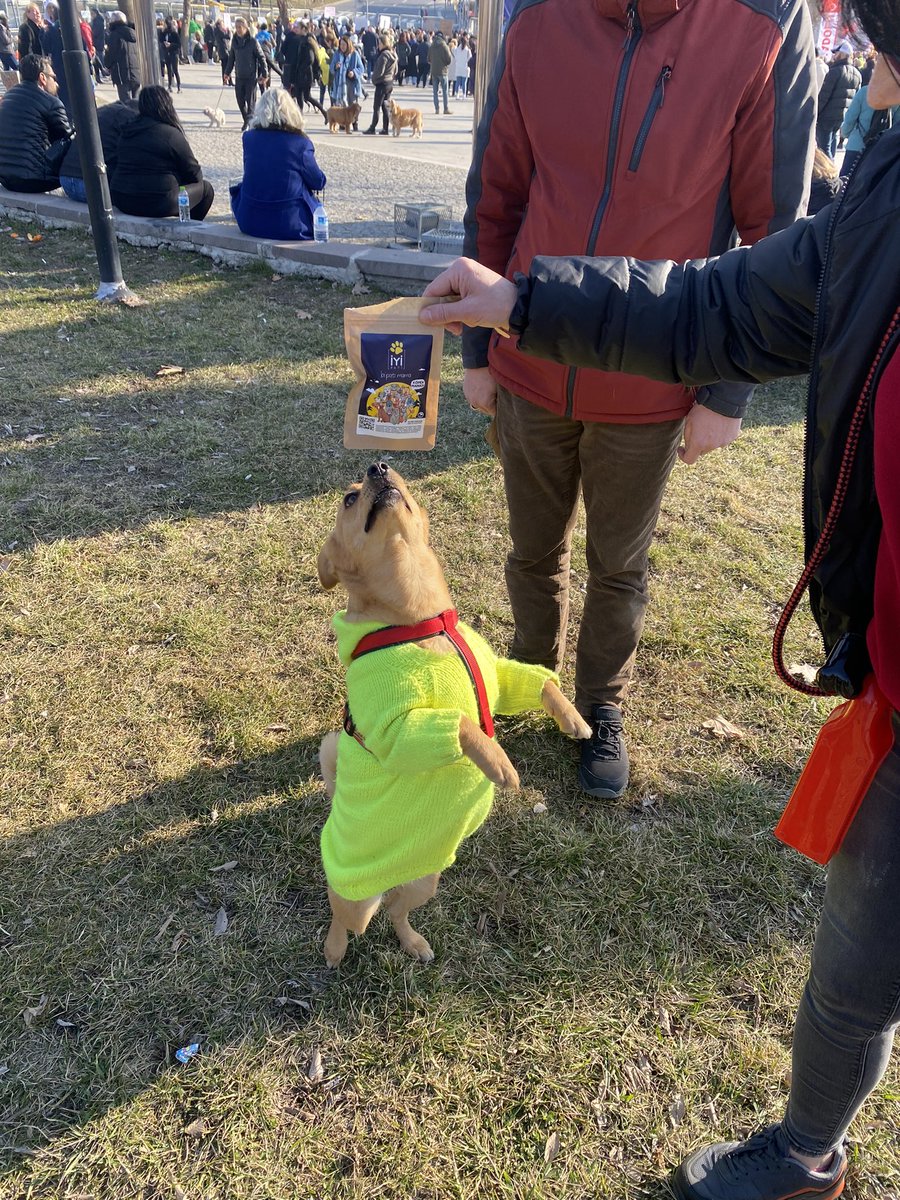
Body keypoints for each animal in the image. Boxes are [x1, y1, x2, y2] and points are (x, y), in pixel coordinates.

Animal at [316, 458, 592, 964]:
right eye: (348, 498)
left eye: (395, 475)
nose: (379, 464)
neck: (423, 619)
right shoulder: (395, 730)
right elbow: (462, 723)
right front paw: (499, 763)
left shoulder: (497, 674)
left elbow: (541, 685)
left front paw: (575, 720)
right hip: (356, 899)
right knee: (343, 917)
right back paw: (333, 949)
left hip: (426, 882)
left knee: (397, 912)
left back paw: (414, 943)